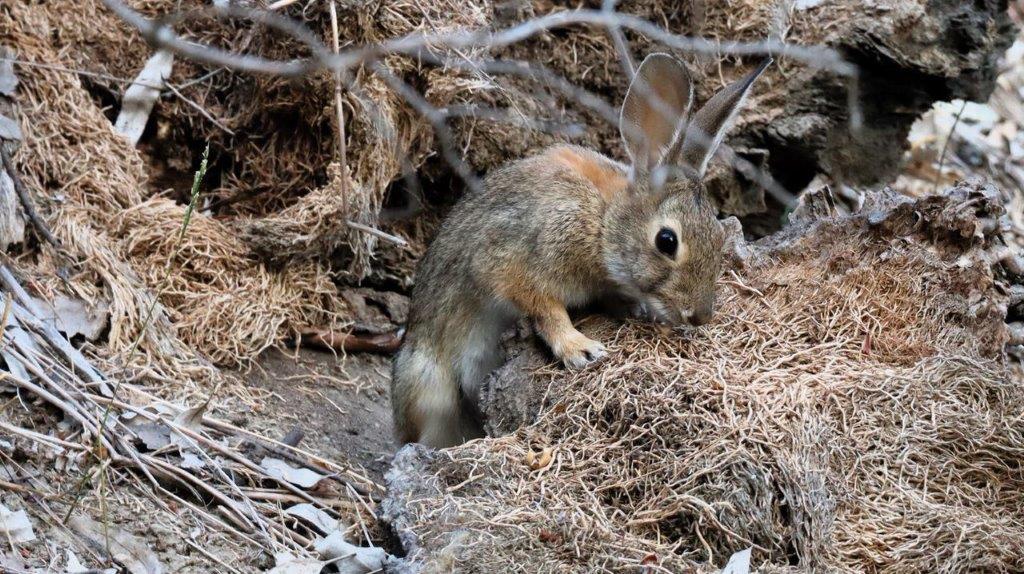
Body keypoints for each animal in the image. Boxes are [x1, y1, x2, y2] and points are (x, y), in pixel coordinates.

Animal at [389, 53, 770, 448]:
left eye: (718, 235)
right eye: (667, 241)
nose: (700, 316)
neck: (603, 220)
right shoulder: (513, 259)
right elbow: (545, 309)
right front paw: (581, 349)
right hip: (429, 383)